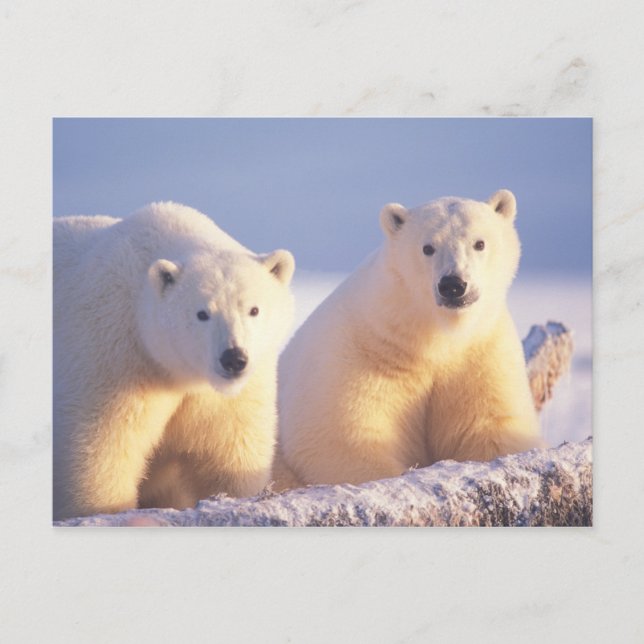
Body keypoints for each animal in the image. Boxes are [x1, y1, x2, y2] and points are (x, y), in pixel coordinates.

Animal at [53, 202, 295, 520]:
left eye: (254, 309)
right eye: (202, 313)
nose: (233, 359)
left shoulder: (225, 395)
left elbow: (230, 449)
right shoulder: (112, 356)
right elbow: (101, 450)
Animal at [274, 190, 543, 489]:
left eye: (479, 243)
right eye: (428, 247)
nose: (453, 285)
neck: (430, 338)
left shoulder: (480, 353)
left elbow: (492, 426)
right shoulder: (358, 354)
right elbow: (343, 439)